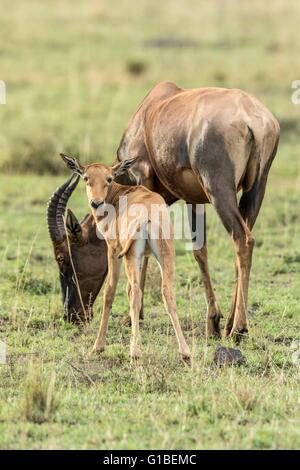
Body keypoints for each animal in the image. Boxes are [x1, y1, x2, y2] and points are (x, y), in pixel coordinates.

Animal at [60, 154, 191, 364]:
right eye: (86, 178)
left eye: (109, 178)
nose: (96, 203)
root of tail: (148, 215)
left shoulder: (113, 250)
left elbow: (110, 292)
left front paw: (97, 348)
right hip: (166, 256)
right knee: (166, 293)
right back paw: (185, 353)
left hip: (131, 256)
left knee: (136, 294)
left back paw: (134, 353)